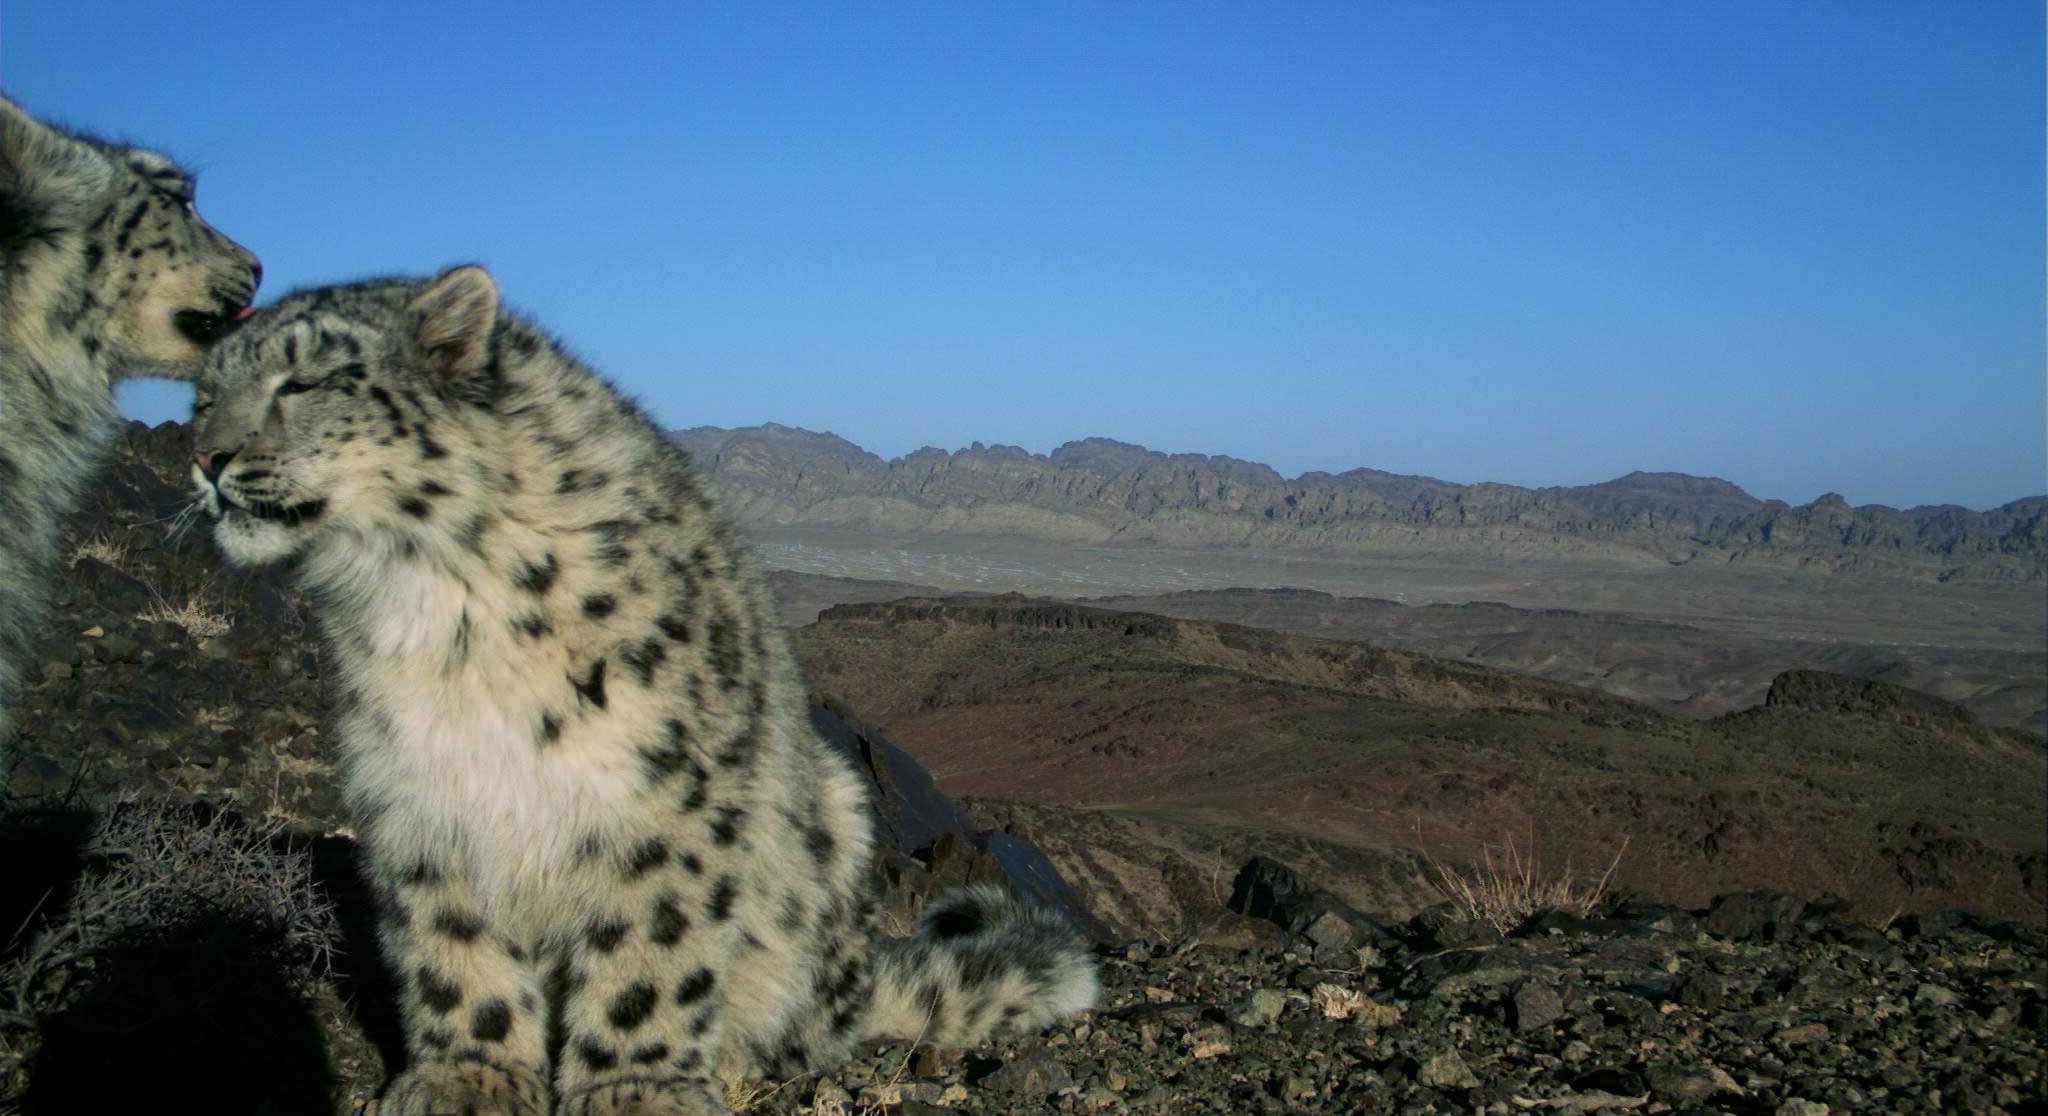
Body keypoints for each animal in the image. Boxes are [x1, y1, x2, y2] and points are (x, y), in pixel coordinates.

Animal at [190, 266, 1095, 1115]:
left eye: (304, 382)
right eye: (202, 394)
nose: (204, 458)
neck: (432, 606)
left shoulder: (662, 789)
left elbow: (648, 949)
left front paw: (636, 1087)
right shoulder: (418, 790)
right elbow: (452, 943)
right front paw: (469, 1077)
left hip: (833, 817)